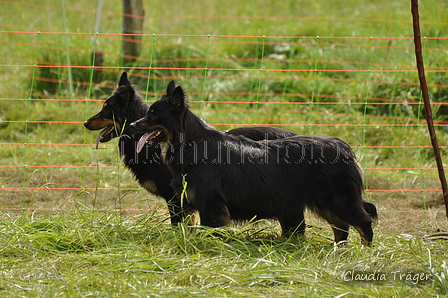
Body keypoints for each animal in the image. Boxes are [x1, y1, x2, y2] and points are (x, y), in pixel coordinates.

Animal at [130, 81, 378, 244]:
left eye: (153, 114)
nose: (132, 124)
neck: (191, 144)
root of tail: (343, 146)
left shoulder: (211, 204)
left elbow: (210, 230)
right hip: (325, 203)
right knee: (342, 228)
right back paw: (338, 251)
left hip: (337, 200)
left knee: (363, 223)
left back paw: (364, 253)